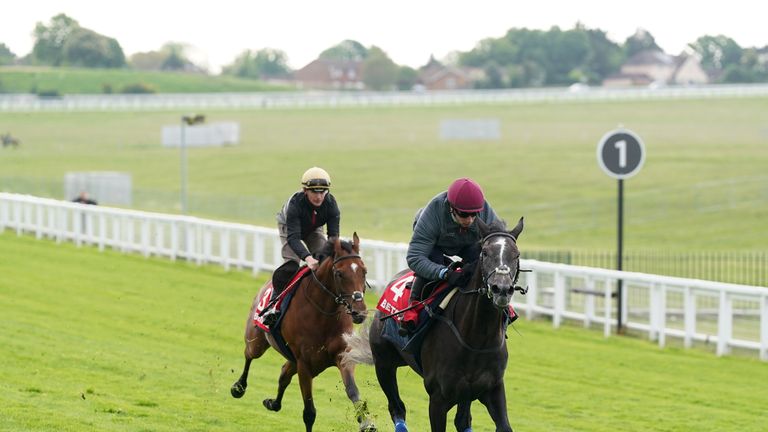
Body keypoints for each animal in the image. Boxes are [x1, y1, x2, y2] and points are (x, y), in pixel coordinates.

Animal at [231, 235, 376, 430]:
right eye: (339, 273)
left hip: (297, 360)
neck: (324, 314)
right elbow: (309, 413)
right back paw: (239, 387)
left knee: (284, 373)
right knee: (249, 356)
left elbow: (353, 391)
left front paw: (366, 422)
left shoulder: (342, 356)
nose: (359, 312)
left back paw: (273, 403)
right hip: (257, 342)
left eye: (364, 271)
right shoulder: (305, 365)